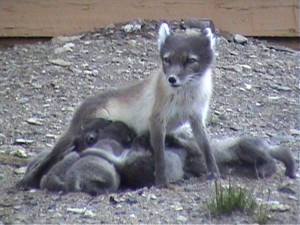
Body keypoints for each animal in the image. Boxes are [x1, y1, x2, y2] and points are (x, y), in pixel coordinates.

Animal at [19, 22, 220, 188]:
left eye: (190, 60)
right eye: (167, 59)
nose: (172, 79)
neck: (185, 98)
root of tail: (82, 107)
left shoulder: (196, 118)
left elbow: (206, 148)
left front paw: (214, 172)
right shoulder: (156, 120)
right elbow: (160, 155)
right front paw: (162, 181)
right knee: (55, 156)